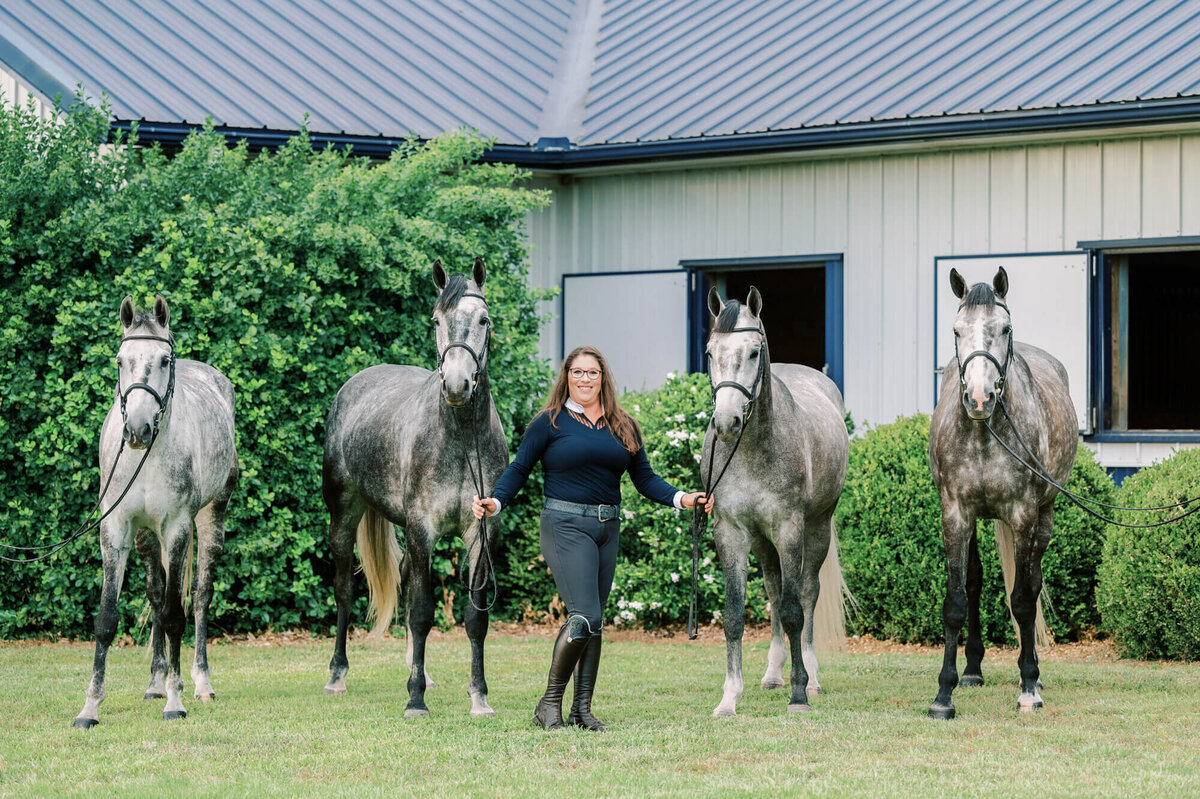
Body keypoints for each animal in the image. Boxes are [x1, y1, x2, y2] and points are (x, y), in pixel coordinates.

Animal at [73, 293, 237, 729]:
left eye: (164, 360)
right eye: (120, 360)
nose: (138, 430)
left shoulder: (177, 528)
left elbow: (175, 615)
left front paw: (175, 702)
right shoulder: (116, 529)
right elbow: (107, 619)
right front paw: (89, 708)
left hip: (211, 516)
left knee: (198, 596)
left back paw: (200, 683)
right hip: (147, 536)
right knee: (157, 591)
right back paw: (154, 683)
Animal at [319, 256, 506, 715]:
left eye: (484, 319)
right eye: (436, 320)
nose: (457, 385)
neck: (459, 438)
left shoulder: (482, 530)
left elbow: (475, 617)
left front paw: (479, 696)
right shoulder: (424, 529)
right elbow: (422, 611)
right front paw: (415, 700)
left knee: (403, 580)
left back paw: (417, 669)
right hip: (343, 515)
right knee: (345, 590)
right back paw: (337, 675)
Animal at [705, 286, 849, 715]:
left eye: (754, 352)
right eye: (710, 352)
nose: (726, 423)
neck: (753, 449)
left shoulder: (789, 529)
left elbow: (793, 611)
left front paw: (799, 694)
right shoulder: (732, 532)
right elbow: (735, 615)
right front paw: (729, 697)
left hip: (815, 530)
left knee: (806, 593)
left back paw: (812, 677)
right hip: (763, 542)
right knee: (772, 588)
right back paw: (772, 673)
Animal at [926, 266, 1080, 715]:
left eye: (1005, 328)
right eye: (957, 330)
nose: (979, 398)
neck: (983, 433)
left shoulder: (1023, 513)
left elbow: (1023, 600)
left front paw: (1028, 687)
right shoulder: (956, 513)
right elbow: (956, 601)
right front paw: (944, 694)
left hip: (1043, 516)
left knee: (1033, 583)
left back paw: (1035, 675)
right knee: (976, 581)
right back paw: (973, 669)